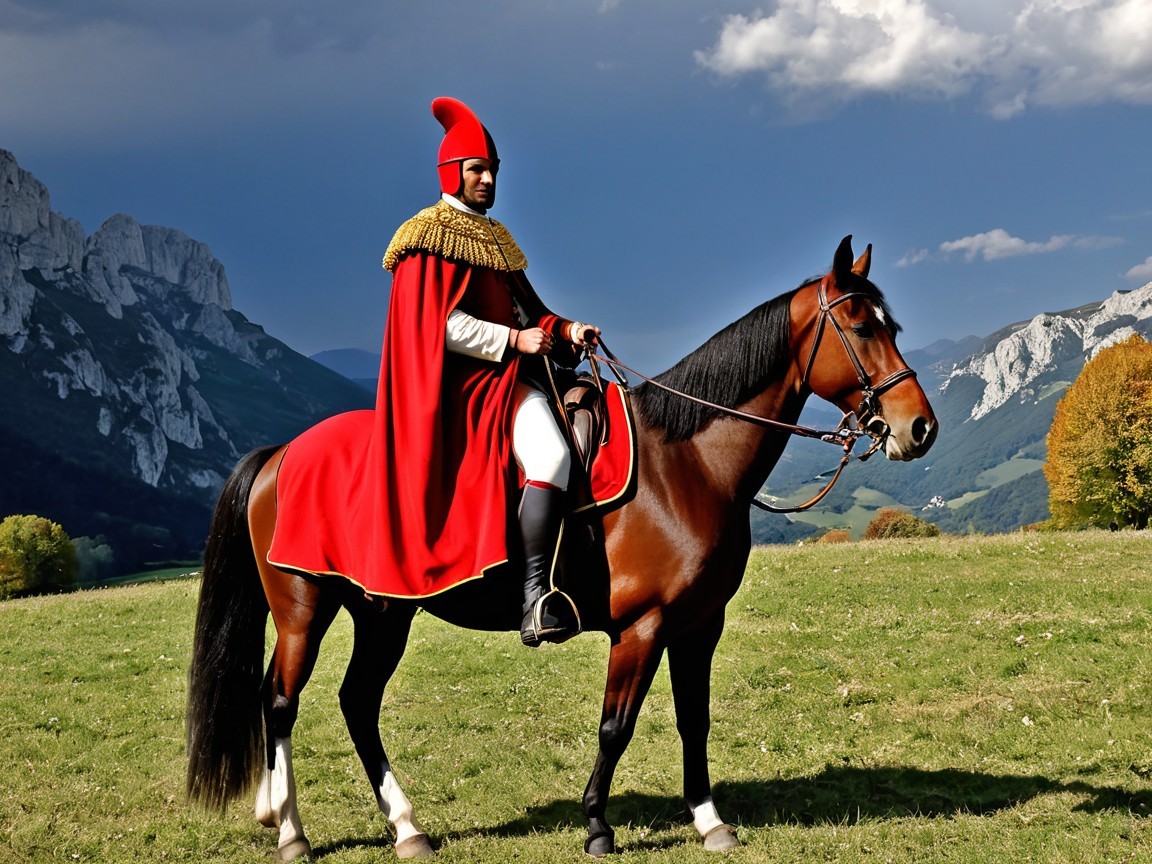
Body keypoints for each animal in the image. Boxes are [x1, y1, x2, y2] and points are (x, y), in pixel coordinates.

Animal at [185, 236, 937, 859]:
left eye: (894, 326)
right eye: (862, 326)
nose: (919, 428)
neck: (687, 463)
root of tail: (282, 454)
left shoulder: (700, 623)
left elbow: (694, 720)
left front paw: (709, 820)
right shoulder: (642, 627)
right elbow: (616, 726)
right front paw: (598, 825)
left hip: (382, 611)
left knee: (354, 703)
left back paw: (404, 828)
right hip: (304, 609)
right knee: (279, 702)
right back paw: (291, 832)